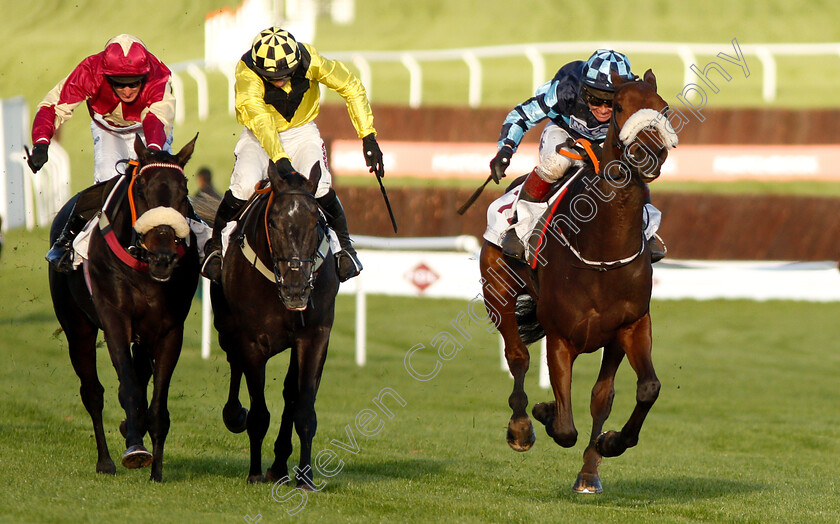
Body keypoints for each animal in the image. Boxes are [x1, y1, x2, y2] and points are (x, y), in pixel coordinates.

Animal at [49, 136, 200, 484]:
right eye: (142, 189)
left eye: (183, 191)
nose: (163, 257)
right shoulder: (115, 319)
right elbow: (128, 388)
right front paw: (135, 450)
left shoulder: (169, 330)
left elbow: (156, 403)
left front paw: (156, 471)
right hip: (77, 327)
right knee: (92, 392)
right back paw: (105, 461)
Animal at [210, 162, 338, 486]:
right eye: (274, 223)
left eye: (317, 223)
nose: (296, 290)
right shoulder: (252, 342)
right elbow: (258, 413)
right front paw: (254, 472)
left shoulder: (314, 337)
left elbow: (303, 409)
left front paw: (305, 477)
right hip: (225, 329)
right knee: (234, 363)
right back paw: (234, 416)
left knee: (290, 393)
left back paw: (280, 465)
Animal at [480, 68, 676, 492]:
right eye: (617, 106)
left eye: (664, 108)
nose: (649, 152)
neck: (601, 249)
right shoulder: (560, 336)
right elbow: (566, 426)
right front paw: (544, 411)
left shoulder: (631, 326)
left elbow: (635, 390)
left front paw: (605, 451)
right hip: (497, 290)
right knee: (517, 355)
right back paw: (521, 427)